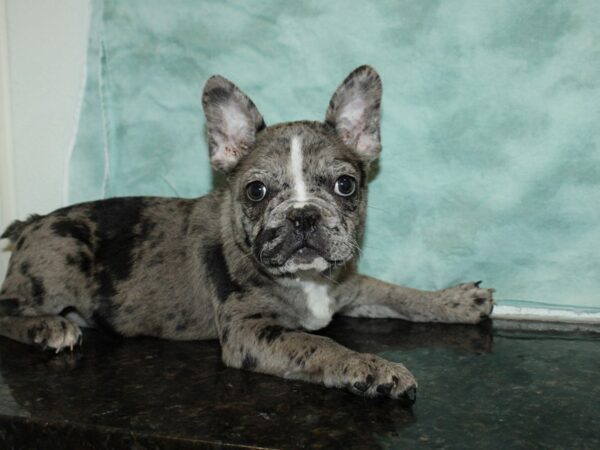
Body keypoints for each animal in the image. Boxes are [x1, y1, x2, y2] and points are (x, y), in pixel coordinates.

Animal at [0, 66, 492, 404]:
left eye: (345, 185)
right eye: (256, 191)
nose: (303, 216)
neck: (306, 281)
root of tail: (32, 222)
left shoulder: (349, 286)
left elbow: (396, 292)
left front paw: (453, 300)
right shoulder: (251, 332)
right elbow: (319, 343)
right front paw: (372, 368)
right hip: (60, 256)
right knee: (7, 309)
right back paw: (49, 328)